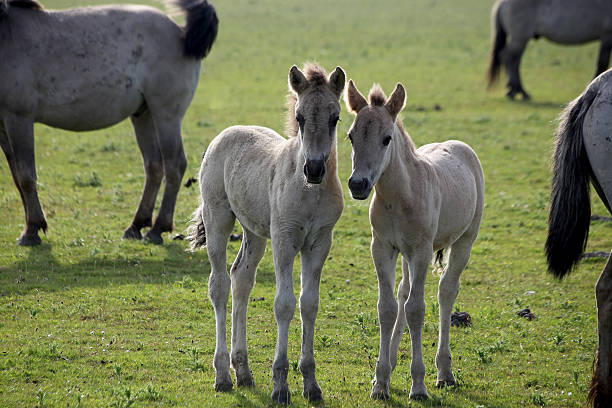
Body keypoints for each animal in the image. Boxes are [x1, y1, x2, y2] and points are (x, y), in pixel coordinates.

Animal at [0, 0, 219, 245]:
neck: (6, 32)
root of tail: (181, 32)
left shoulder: (19, 118)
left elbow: (26, 176)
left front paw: (31, 230)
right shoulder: (2, 125)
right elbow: (16, 176)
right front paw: (31, 226)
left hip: (166, 116)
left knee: (175, 165)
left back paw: (157, 228)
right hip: (144, 115)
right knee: (154, 167)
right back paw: (136, 225)